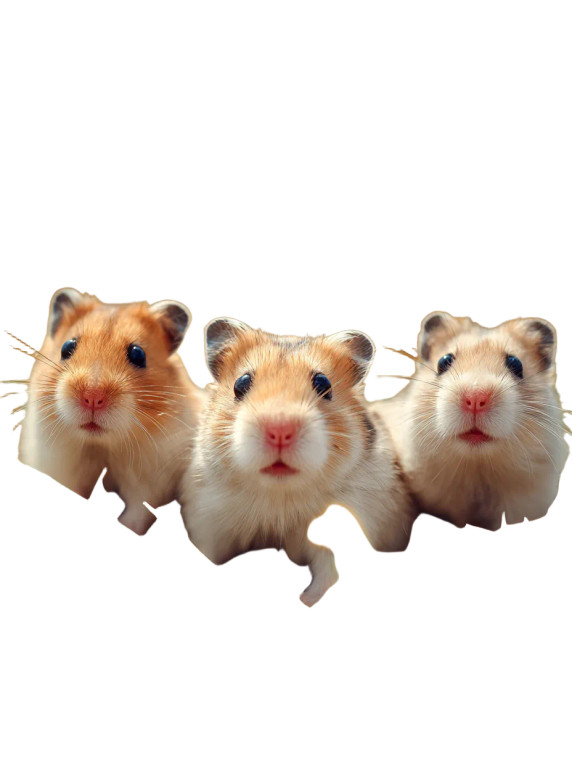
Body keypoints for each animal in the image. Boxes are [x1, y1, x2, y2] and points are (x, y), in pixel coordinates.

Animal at [18, 287, 205, 535]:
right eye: (67, 347)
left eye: (138, 354)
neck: (100, 444)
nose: (92, 398)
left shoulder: (151, 476)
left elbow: (138, 510)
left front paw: (128, 526)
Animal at [179, 318, 416, 606]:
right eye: (241, 383)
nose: (280, 430)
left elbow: (327, 569)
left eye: (323, 383)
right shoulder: (208, 522)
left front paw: (306, 598)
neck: (280, 496)